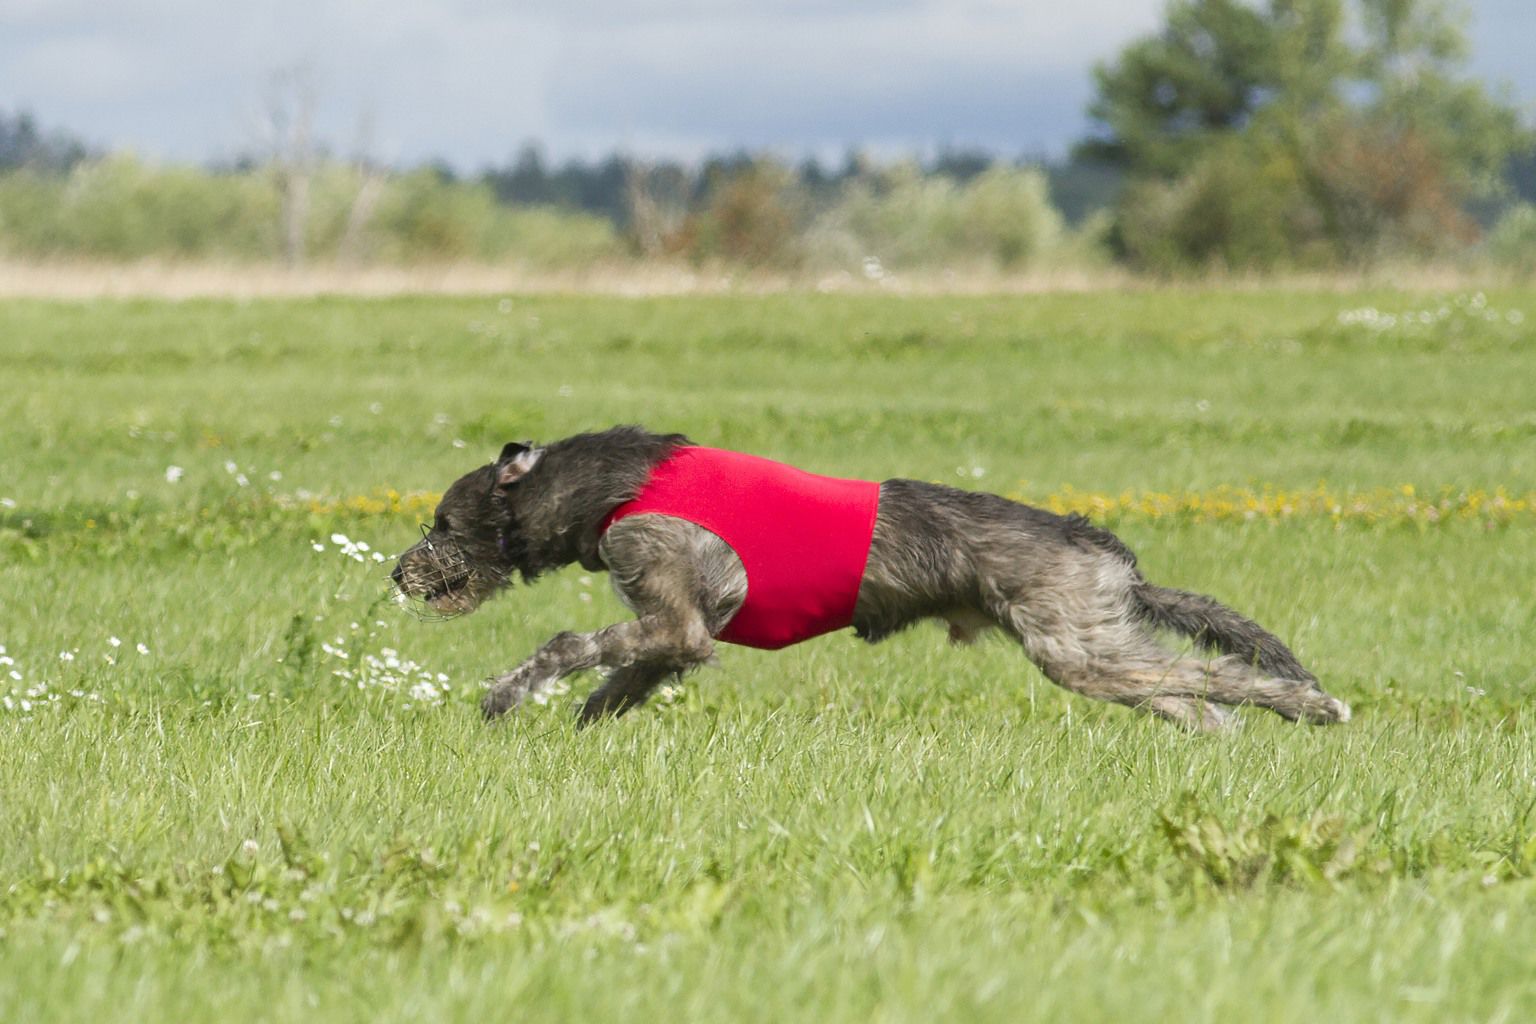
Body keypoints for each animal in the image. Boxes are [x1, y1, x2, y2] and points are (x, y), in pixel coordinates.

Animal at [390, 429, 1351, 733]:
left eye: (441, 523)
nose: (399, 573)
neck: (617, 485)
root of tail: (1102, 547)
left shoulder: (671, 612)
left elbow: (571, 644)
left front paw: (506, 694)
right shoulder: (676, 637)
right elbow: (621, 680)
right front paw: (580, 734)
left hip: (1074, 643)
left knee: (1212, 673)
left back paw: (1315, 706)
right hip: (1098, 643)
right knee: (1190, 691)